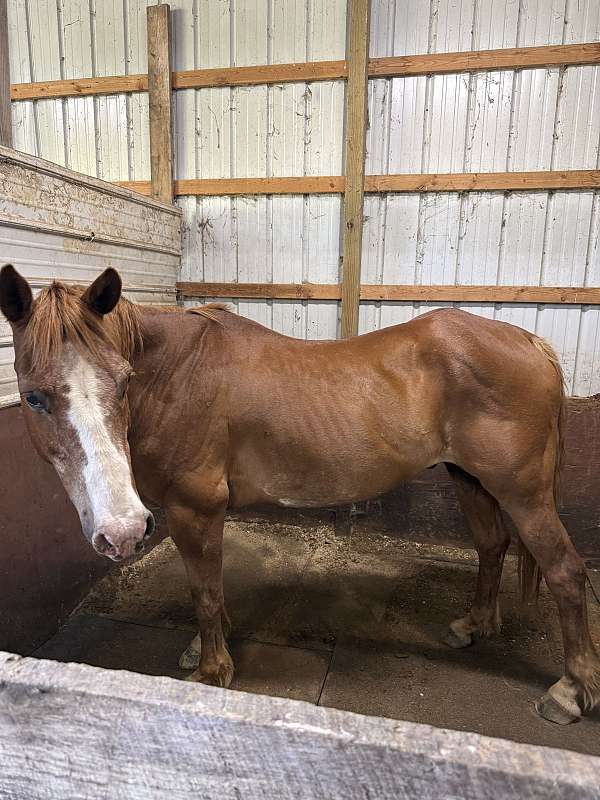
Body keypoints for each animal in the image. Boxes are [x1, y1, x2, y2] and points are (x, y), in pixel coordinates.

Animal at [1, 263, 598, 726]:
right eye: (32, 397)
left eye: (124, 382)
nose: (122, 532)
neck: (177, 376)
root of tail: (529, 341)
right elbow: (211, 585)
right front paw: (208, 645)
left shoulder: (196, 509)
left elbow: (205, 590)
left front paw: (213, 671)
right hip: (468, 479)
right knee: (492, 546)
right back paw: (472, 626)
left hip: (523, 493)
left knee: (566, 572)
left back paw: (569, 692)